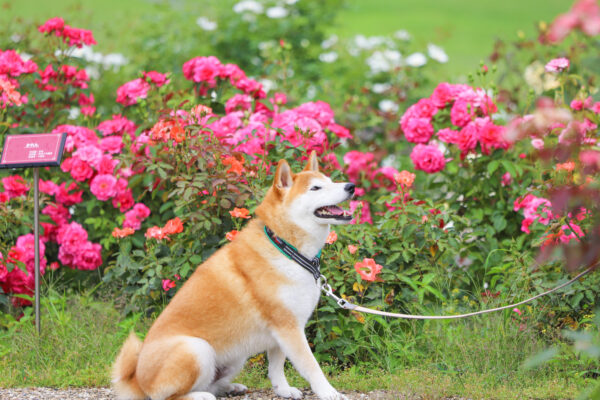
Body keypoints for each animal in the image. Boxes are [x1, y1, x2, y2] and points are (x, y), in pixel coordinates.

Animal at [112, 151, 354, 400]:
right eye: (315, 188)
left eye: (330, 181)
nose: (350, 186)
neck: (287, 248)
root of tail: (138, 380)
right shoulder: (288, 327)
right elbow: (311, 366)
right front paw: (329, 392)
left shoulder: (282, 330)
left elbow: (276, 367)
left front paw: (283, 390)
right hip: (197, 349)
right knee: (167, 396)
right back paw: (201, 396)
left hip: (236, 355)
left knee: (210, 382)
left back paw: (229, 387)